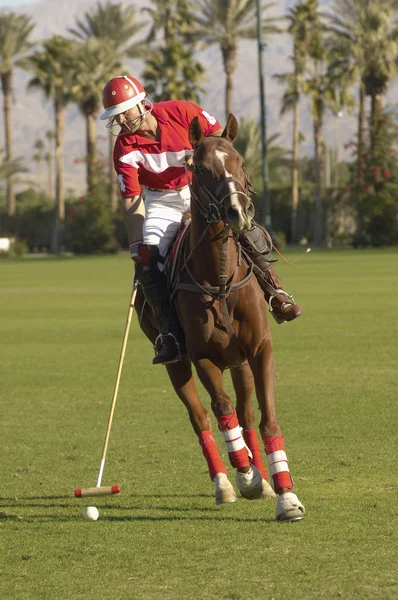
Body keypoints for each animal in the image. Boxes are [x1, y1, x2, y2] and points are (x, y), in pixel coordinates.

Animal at [134, 115, 304, 524]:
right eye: (200, 168)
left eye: (240, 161)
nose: (238, 213)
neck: (221, 277)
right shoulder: (202, 357)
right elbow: (222, 410)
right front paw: (247, 475)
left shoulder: (259, 349)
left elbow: (265, 417)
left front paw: (285, 496)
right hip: (177, 363)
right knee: (202, 417)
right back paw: (226, 483)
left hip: (239, 361)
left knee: (246, 412)